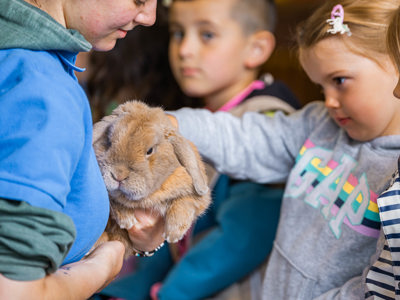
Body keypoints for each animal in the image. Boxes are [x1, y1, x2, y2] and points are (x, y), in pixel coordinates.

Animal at [93, 101, 211, 258]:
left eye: (149, 151)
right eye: (109, 142)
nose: (118, 175)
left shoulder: (197, 198)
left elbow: (184, 202)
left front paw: (173, 233)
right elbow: (114, 201)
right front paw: (127, 220)